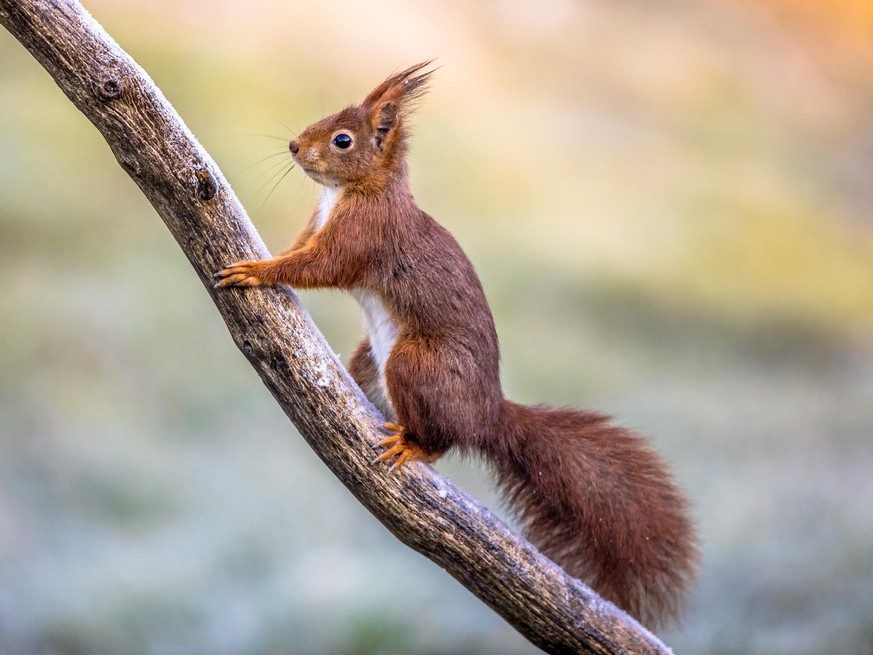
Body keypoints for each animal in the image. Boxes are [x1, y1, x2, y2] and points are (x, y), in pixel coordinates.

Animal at [215, 62, 700, 632]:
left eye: (342, 140)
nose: (293, 146)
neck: (351, 191)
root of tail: (488, 413)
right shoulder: (317, 223)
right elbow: (298, 249)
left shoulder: (363, 235)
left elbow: (318, 266)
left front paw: (257, 270)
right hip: (372, 360)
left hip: (417, 362)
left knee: (443, 439)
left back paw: (412, 445)